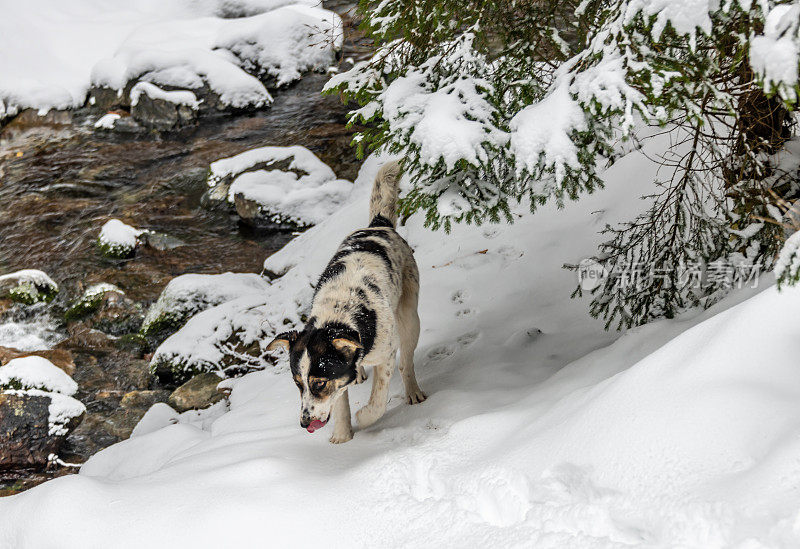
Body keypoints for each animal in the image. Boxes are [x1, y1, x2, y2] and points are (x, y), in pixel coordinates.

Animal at [268, 161, 428, 444]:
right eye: (298, 383)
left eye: (319, 383)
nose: (304, 423)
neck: (341, 311)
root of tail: (378, 225)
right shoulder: (339, 376)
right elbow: (340, 400)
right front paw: (342, 436)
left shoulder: (386, 354)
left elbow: (378, 399)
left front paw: (364, 418)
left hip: (410, 317)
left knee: (406, 362)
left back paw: (413, 391)